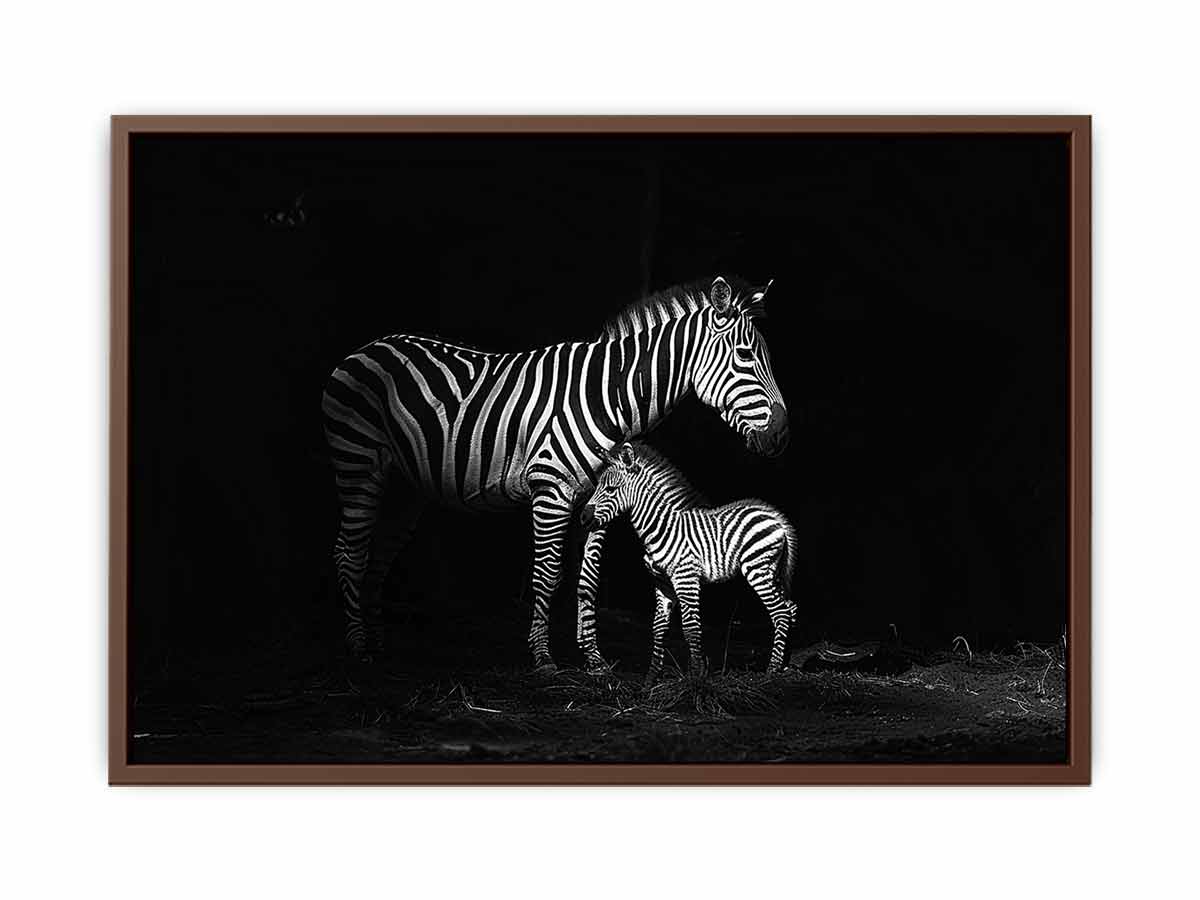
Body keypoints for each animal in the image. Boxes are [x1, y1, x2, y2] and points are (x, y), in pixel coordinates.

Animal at [580, 442, 798, 683]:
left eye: (611, 489)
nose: (583, 518)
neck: (660, 527)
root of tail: (775, 516)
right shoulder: (662, 583)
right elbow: (658, 627)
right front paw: (651, 679)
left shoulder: (685, 577)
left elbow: (691, 627)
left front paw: (695, 677)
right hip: (772, 571)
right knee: (790, 609)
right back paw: (784, 663)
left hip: (757, 568)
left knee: (780, 613)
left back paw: (772, 670)